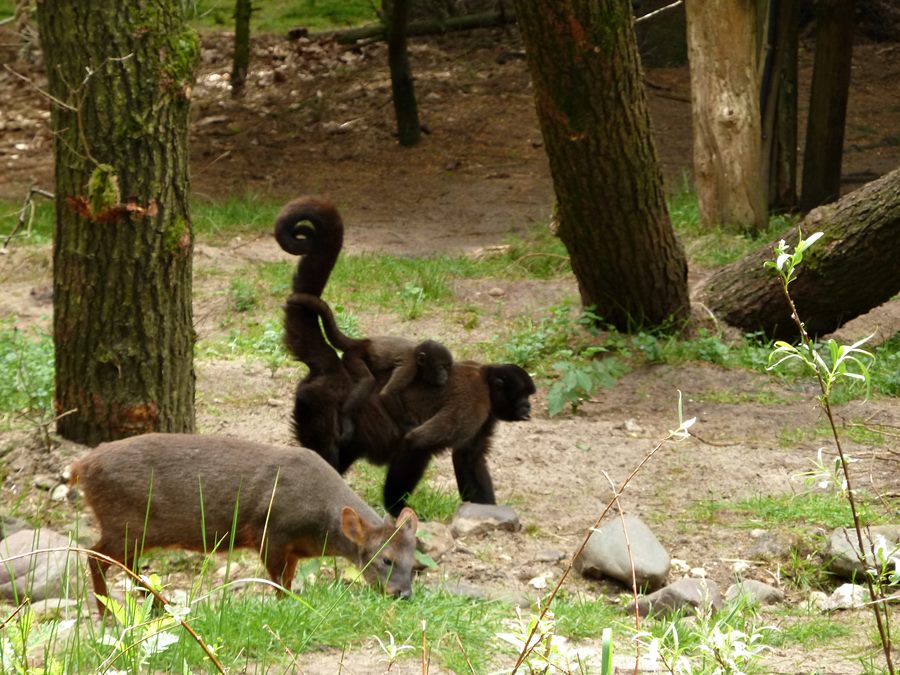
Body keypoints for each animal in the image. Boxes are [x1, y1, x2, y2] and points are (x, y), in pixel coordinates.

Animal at [275, 197, 537, 516]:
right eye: (523, 395)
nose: (528, 407)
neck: (486, 379)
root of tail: (335, 369)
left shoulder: (484, 417)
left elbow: (468, 457)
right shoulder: (474, 403)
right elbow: (416, 442)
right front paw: (397, 509)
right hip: (321, 409)